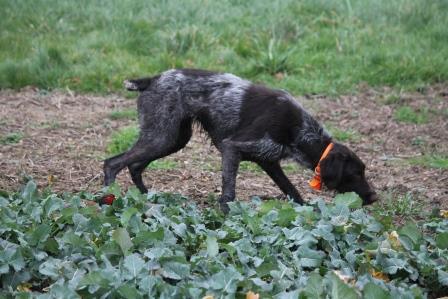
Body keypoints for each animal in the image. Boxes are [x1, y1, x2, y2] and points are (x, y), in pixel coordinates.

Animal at [102, 68, 378, 213]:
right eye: (355, 174)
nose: (374, 197)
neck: (299, 129)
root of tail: (152, 79)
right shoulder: (232, 148)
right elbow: (229, 192)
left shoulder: (269, 161)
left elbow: (292, 191)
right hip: (162, 136)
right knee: (112, 163)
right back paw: (108, 201)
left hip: (172, 138)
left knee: (134, 166)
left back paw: (148, 199)